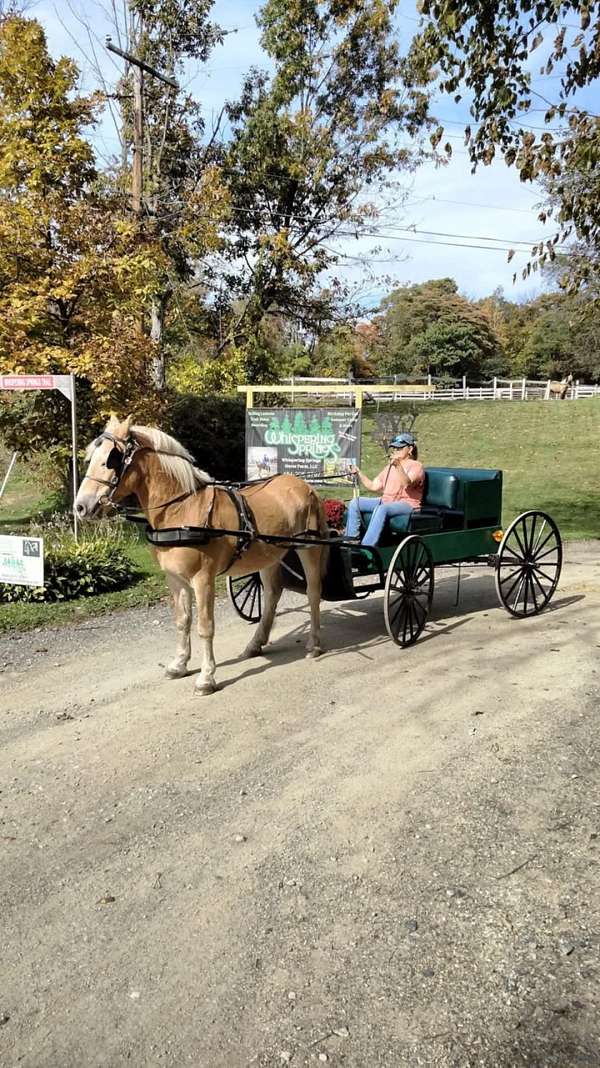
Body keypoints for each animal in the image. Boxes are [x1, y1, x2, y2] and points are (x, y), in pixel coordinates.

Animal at [75, 412, 328, 696]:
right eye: (90, 458)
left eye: (110, 460)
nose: (80, 507)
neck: (182, 510)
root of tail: (304, 485)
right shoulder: (176, 579)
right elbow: (182, 621)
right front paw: (179, 665)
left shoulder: (202, 578)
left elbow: (205, 627)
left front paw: (206, 677)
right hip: (270, 554)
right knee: (273, 592)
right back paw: (255, 644)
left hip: (310, 549)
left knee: (313, 592)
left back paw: (314, 643)